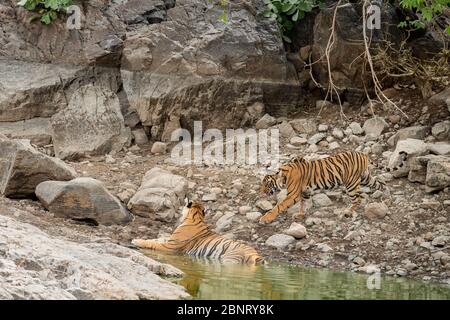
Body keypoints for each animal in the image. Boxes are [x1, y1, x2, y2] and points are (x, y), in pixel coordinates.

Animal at [132, 199, 264, 264]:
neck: (196, 217)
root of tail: (256, 255)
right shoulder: (170, 241)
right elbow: (158, 239)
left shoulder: (170, 247)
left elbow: (153, 244)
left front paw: (136, 240)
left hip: (229, 259)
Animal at [258, 150, 388, 222]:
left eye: (267, 184)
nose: (261, 192)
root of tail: (363, 154)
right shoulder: (305, 191)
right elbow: (303, 203)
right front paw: (300, 214)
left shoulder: (293, 195)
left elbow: (279, 207)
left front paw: (265, 218)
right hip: (366, 178)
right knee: (381, 184)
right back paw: (387, 195)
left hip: (351, 183)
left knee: (358, 199)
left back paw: (348, 212)